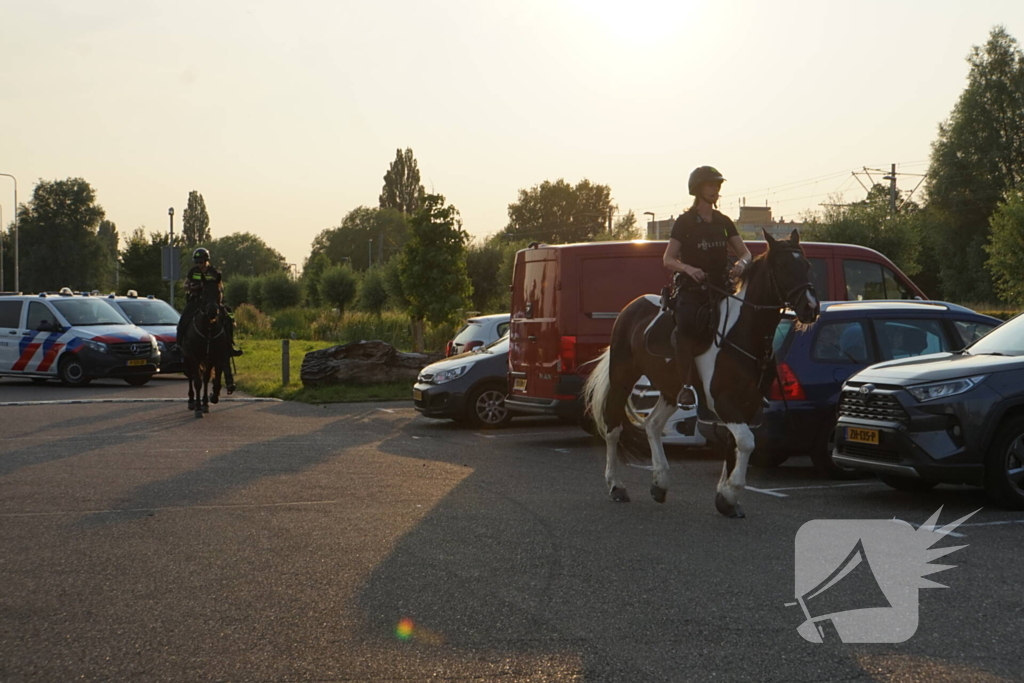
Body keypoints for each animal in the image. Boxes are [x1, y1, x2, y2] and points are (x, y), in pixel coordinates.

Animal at [585, 229, 815, 518]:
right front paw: (731, 491)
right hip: (621, 379)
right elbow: (746, 442)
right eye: (783, 266)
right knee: (613, 428)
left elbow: (734, 444)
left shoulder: (748, 404)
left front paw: (725, 499)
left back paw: (660, 484)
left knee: (653, 424)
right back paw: (616, 486)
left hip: (671, 389)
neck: (742, 334)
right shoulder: (723, 401)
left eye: (806, 265)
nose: (811, 308)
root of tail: (630, 308)